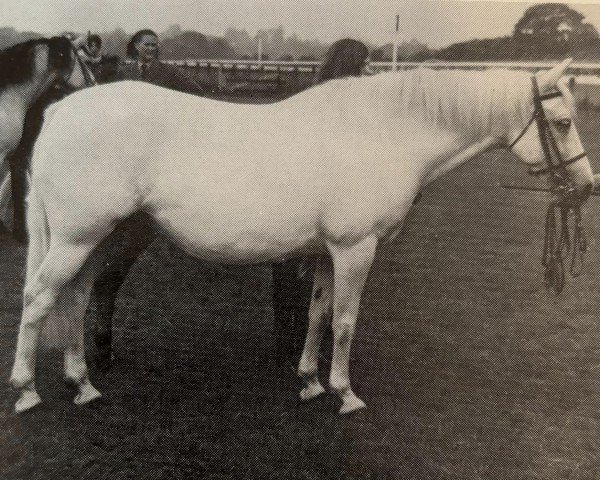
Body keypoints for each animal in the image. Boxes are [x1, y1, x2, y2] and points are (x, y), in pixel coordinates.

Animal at [8, 59, 592, 412]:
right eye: (562, 122)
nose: (587, 186)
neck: (382, 134)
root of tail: (61, 110)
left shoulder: (328, 253)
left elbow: (318, 314)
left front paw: (310, 381)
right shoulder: (357, 249)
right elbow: (346, 321)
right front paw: (344, 393)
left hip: (97, 237)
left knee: (76, 295)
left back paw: (83, 385)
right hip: (79, 237)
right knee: (38, 298)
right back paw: (26, 390)